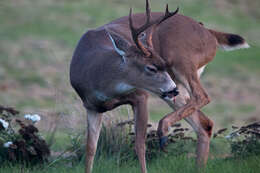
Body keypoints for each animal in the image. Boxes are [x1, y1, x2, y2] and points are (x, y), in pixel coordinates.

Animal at [70, 0, 249, 172]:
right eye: (151, 68)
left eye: (163, 64)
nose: (173, 89)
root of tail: (210, 34)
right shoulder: (92, 107)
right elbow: (90, 149)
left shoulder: (140, 95)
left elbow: (139, 145)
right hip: (174, 88)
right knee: (205, 124)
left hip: (182, 61)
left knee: (202, 96)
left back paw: (163, 131)